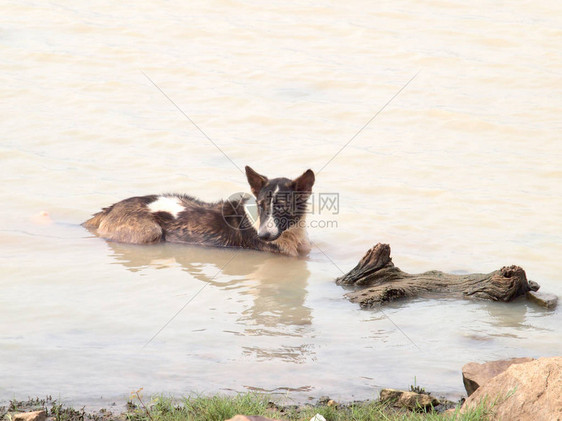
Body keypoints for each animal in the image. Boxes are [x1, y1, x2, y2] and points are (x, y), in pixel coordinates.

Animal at [81, 165, 312, 256]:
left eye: (282, 207)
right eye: (261, 205)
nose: (263, 235)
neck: (292, 233)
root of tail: (111, 208)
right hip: (150, 232)